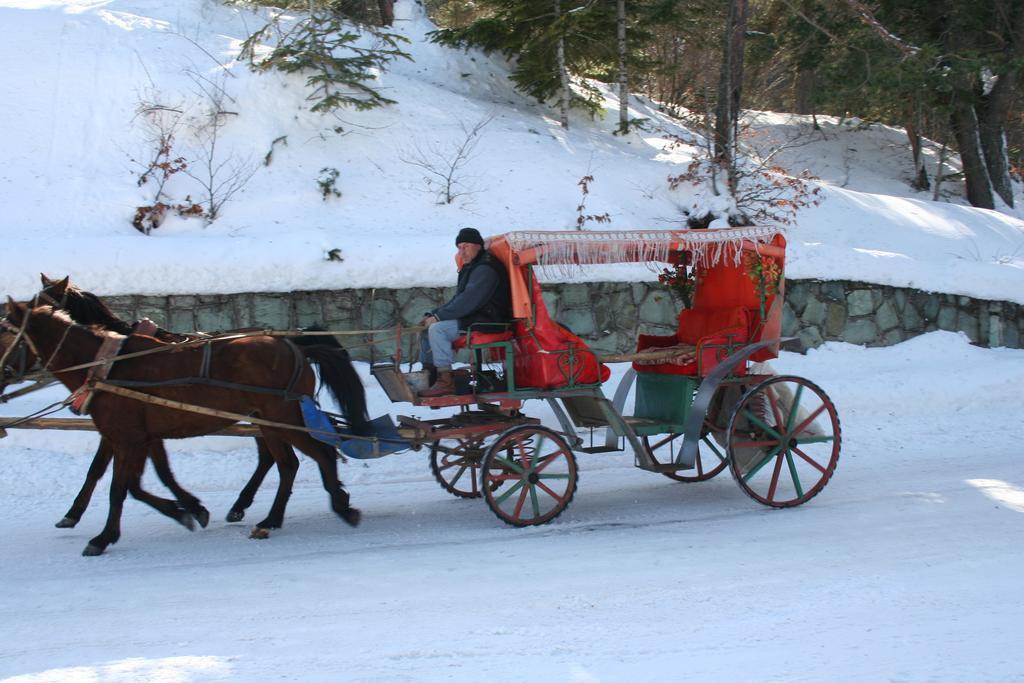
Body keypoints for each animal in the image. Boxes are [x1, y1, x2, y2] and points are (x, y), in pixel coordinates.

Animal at [2, 301, 364, 557]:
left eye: (6, 335)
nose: (1, 375)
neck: (107, 368)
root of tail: (296, 346)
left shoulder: (128, 437)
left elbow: (120, 488)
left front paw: (103, 538)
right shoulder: (139, 436)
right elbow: (142, 481)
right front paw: (189, 509)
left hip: (285, 417)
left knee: (321, 455)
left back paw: (342, 507)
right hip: (270, 421)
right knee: (287, 464)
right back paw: (269, 519)